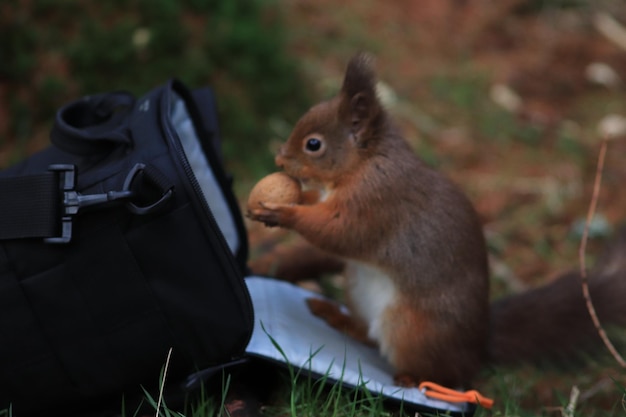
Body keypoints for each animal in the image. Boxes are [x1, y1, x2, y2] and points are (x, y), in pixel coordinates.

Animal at [246, 52, 624, 386]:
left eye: (314, 144)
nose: (279, 160)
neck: (363, 164)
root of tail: (478, 348)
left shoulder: (376, 202)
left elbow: (337, 232)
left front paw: (282, 212)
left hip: (412, 329)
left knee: (446, 373)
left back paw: (414, 379)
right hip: (358, 288)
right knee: (367, 335)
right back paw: (336, 317)